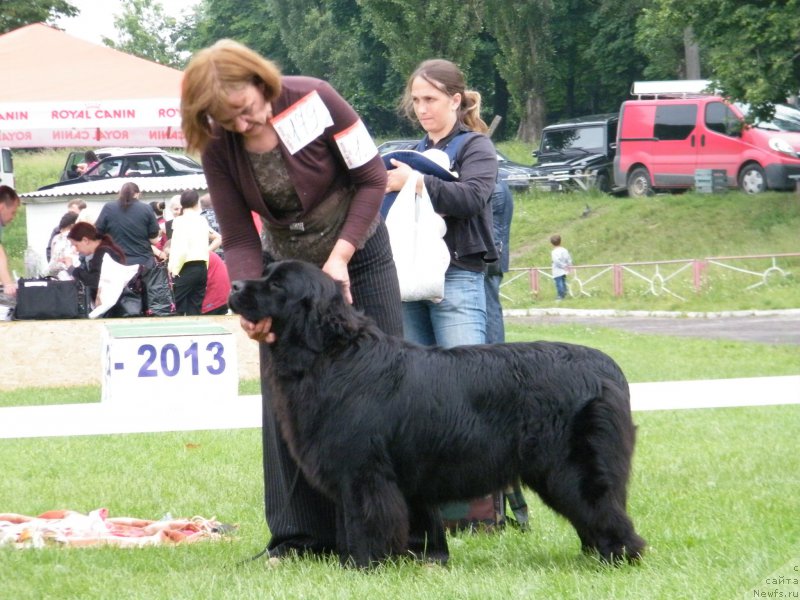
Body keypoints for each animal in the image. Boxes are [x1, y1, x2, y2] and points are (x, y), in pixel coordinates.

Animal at [228, 260, 648, 564]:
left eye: (277, 285)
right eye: (265, 274)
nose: (234, 285)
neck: (331, 355)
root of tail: (607, 368)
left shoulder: (364, 473)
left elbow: (366, 520)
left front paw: (364, 565)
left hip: (573, 467)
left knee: (604, 510)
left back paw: (618, 556)